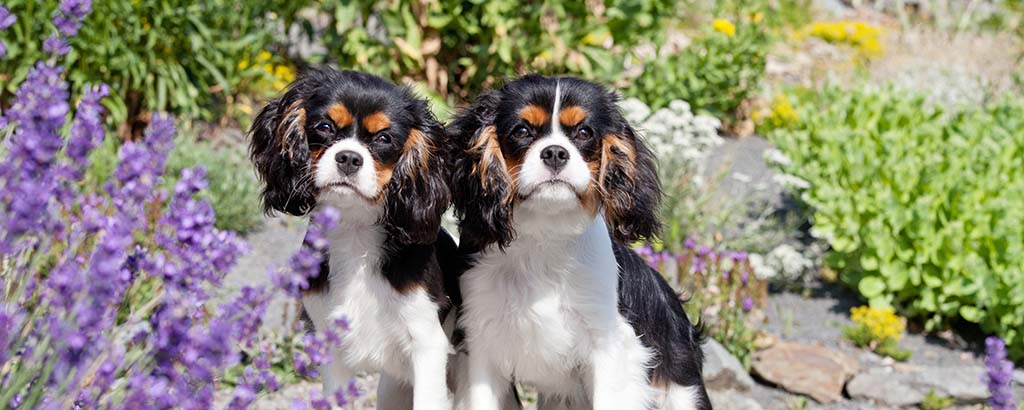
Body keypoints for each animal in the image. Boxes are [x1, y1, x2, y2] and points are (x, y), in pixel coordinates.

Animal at [247, 68, 456, 407]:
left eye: (384, 138)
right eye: (325, 127)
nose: (348, 158)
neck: (355, 230)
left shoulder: (427, 342)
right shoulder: (328, 343)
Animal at [448, 75, 712, 407]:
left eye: (584, 132)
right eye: (522, 131)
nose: (555, 152)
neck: (545, 236)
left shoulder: (609, 347)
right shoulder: (480, 343)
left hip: (682, 392)